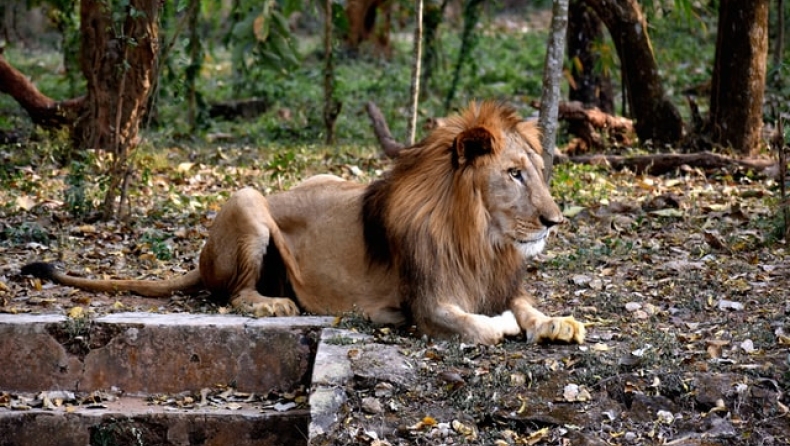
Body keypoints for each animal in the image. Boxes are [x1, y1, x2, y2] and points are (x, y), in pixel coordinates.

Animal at [21, 101, 588, 344]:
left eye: (537, 171)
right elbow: (481, 326)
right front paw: (504, 324)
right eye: (513, 174)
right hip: (247, 200)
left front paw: (557, 322)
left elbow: (526, 306)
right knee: (231, 294)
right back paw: (272, 304)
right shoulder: (425, 303)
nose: (555, 221)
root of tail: (201, 259)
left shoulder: (497, 279)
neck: (480, 238)